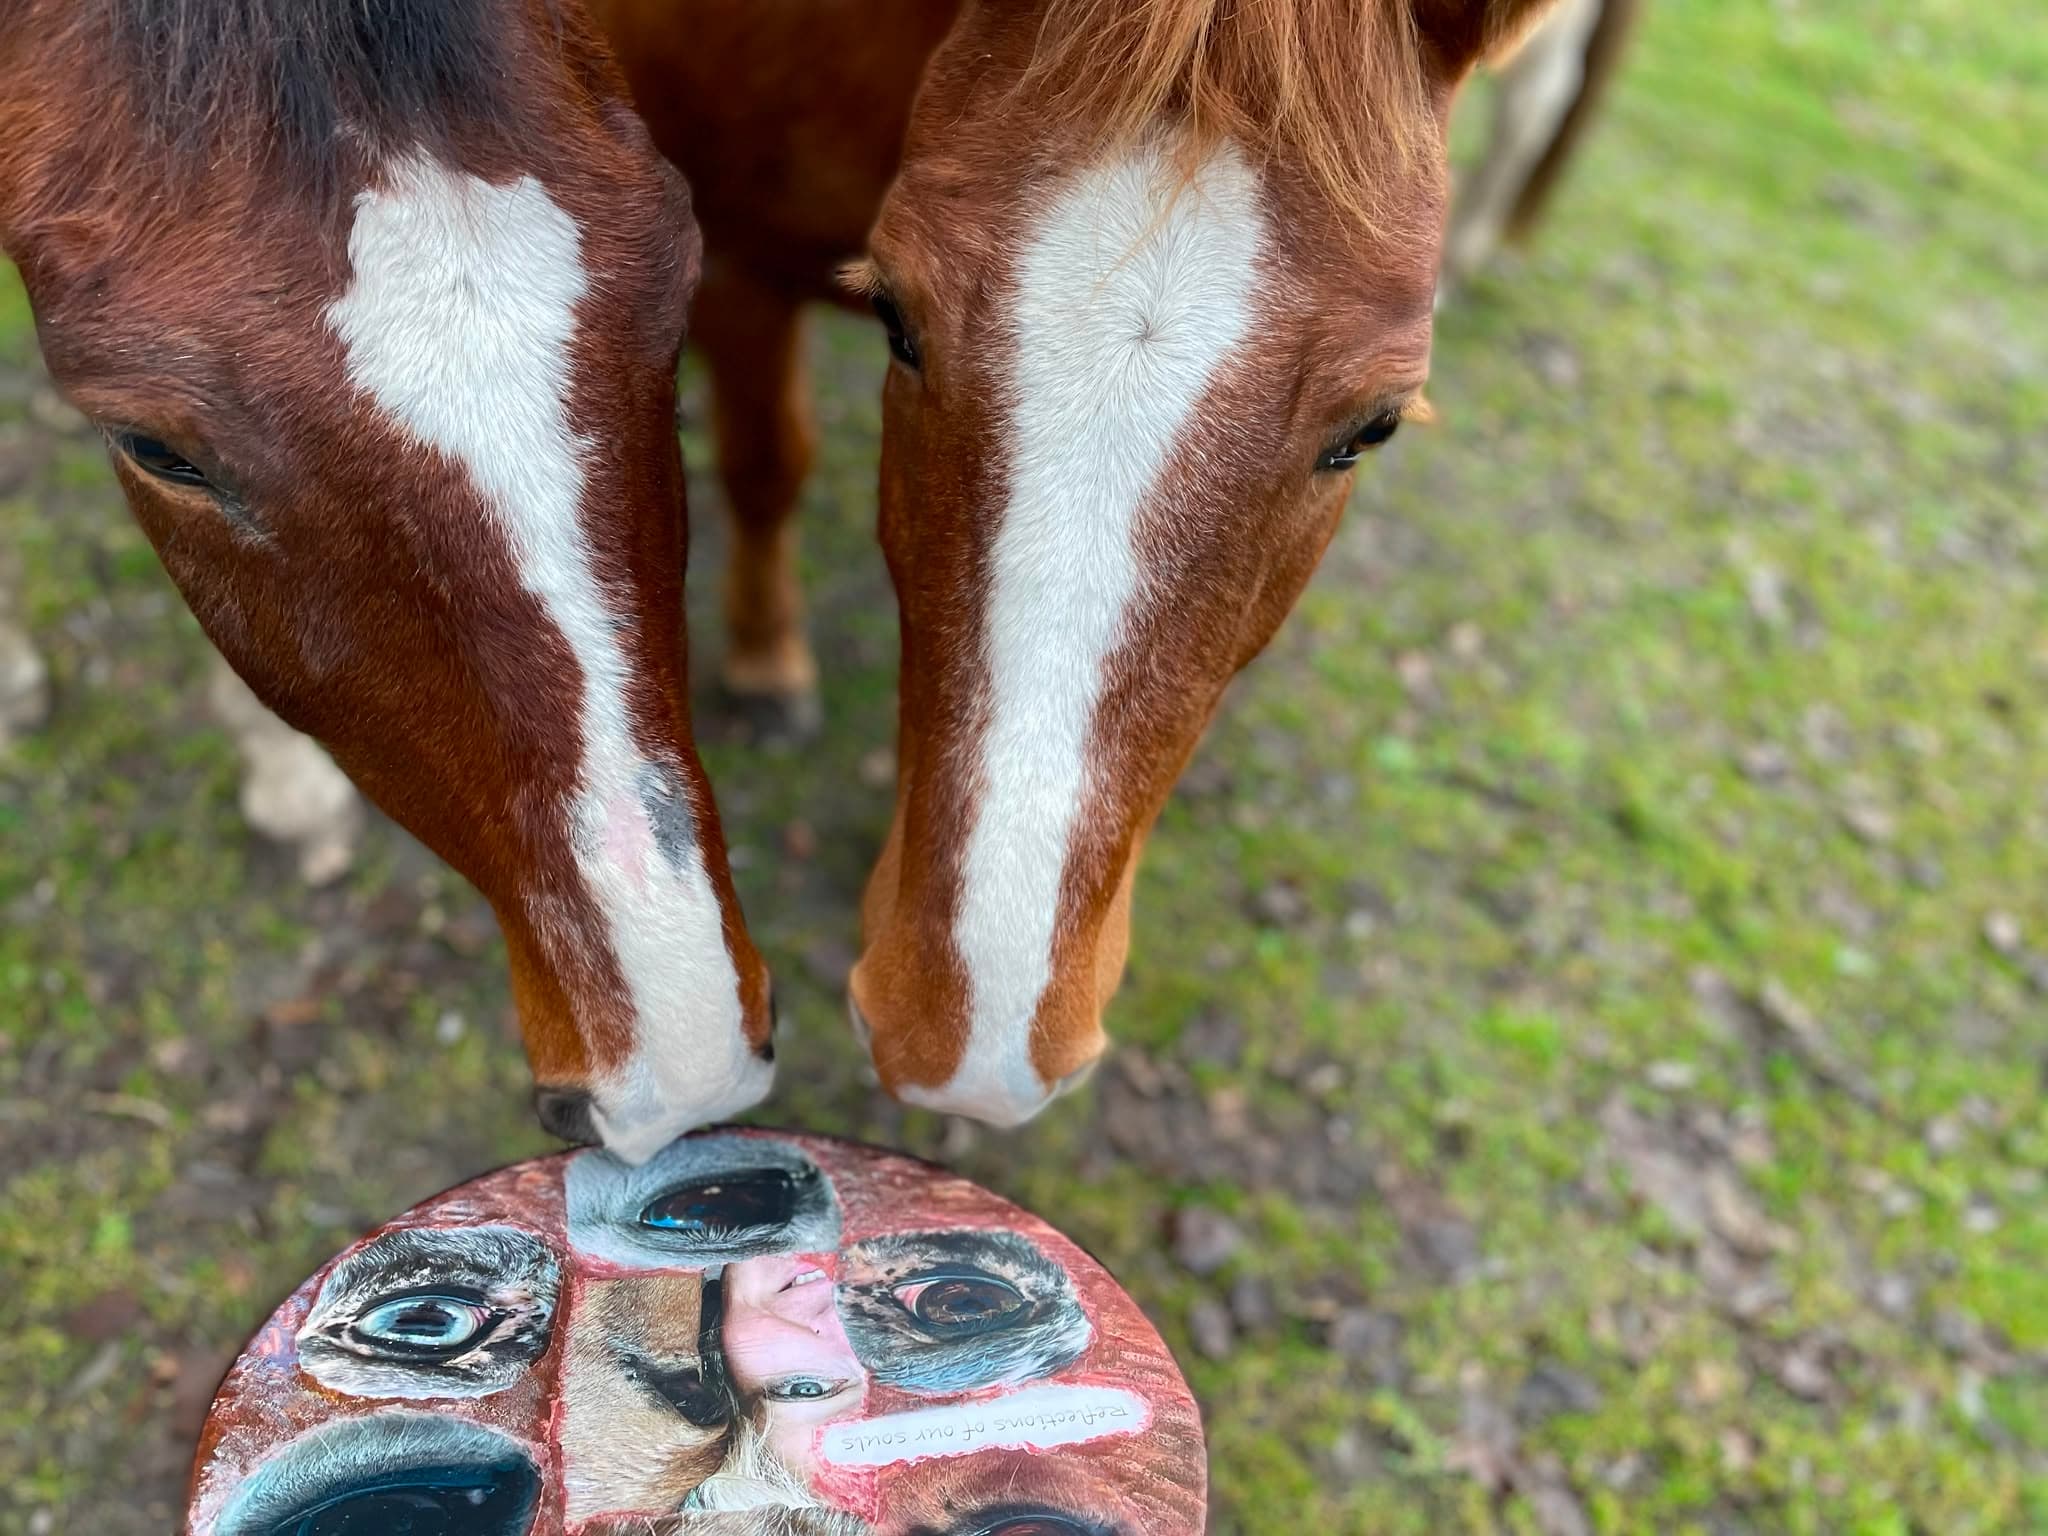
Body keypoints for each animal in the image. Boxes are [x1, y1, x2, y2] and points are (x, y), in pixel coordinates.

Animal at [599, 0, 1564, 1123]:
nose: (969, 1050)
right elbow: (764, 464)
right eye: (895, 320)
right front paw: (764, 662)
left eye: (1372, 430)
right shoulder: (733, 252)